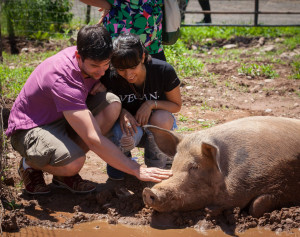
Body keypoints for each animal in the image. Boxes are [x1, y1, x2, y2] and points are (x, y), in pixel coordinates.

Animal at [142, 115, 300, 218]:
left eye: (195, 167)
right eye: (173, 165)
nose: (149, 191)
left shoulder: (283, 180)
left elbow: (256, 207)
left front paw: (209, 211)